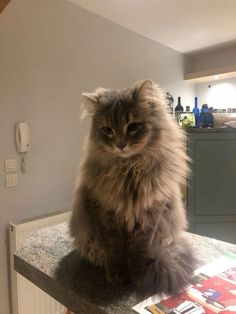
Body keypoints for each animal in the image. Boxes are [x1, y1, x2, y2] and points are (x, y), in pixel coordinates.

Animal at [70, 79, 197, 296]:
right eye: (108, 130)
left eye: (133, 126)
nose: (120, 145)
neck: (129, 169)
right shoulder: (105, 214)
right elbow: (114, 250)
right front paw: (116, 275)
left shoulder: (150, 215)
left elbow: (139, 249)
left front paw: (139, 275)